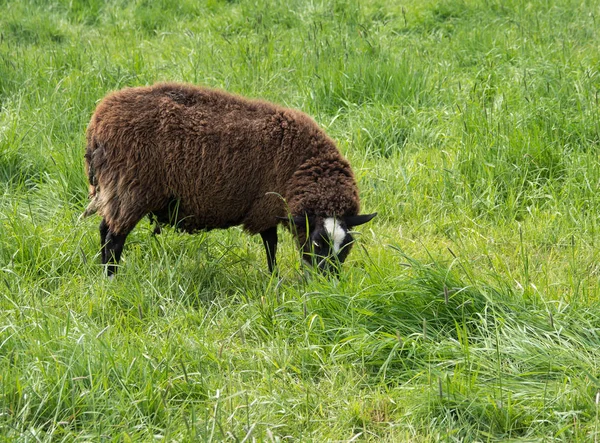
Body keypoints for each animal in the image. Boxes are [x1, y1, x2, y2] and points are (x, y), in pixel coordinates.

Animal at [82, 83, 376, 276]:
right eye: (317, 243)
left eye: (347, 246)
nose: (328, 282)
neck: (302, 166)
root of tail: (98, 122)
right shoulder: (267, 205)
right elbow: (271, 244)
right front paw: (273, 278)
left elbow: (270, 243)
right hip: (130, 189)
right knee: (114, 237)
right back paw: (111, 278)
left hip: (117, 190)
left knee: (105, 230)